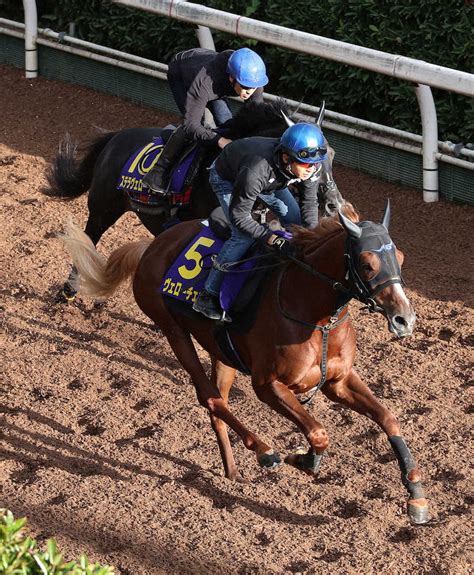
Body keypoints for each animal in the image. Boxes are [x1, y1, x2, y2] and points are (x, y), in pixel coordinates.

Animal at [42, 100, 342, 302]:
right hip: (103, 209)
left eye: (332, 154)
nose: (334, 204)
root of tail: (115, 137)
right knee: (88, 238)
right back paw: (68, 291)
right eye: (308, 156)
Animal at [62, 202, 430, 528]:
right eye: (367, 263)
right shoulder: (268, 384)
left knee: (217, 403)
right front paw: (303, 458)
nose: (405, 319)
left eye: (400, 258)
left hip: (221, 352)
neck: (315, 314)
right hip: (172, 330)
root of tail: (153, 245)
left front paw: (417, 496)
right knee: (210, 397)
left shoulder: (338, 381)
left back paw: (232, 471)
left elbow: (388, 418)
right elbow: (318, 432)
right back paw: (264, 451)